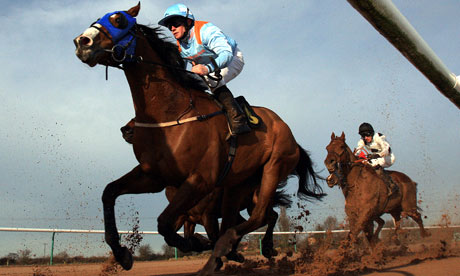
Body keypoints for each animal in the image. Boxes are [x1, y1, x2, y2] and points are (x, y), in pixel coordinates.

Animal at [73, 3, 324, 274]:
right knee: (241, 219)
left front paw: (198, 243)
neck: (170, 113)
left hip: (273, 167)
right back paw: (220, 257)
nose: (81, 42)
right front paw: (122, 254)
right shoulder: (154, 176)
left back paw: (238, 249)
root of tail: (288, 130)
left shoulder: (200, 181)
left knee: (257, 216)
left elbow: (165, 223)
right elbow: (109, 193)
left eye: (118, 20)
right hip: (238, 183)